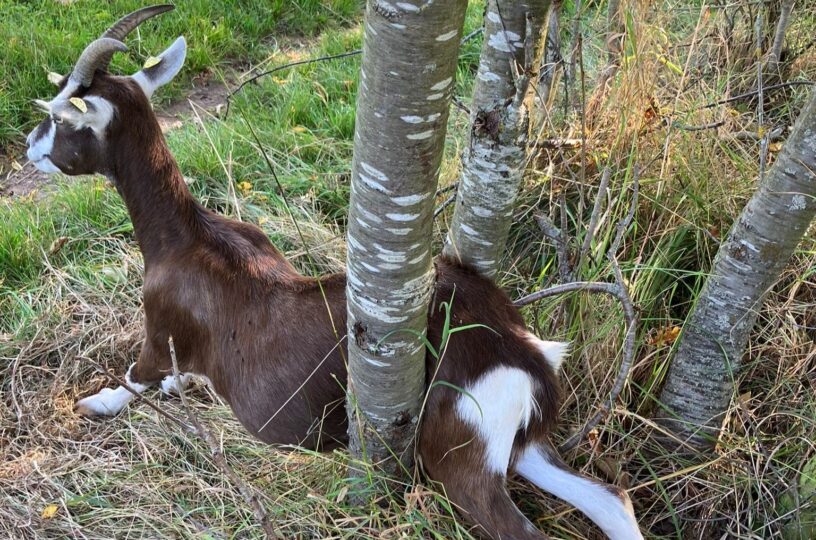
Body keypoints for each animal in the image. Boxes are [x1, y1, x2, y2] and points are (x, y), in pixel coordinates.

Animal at [25, 5, 644, 540]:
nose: (30, 147)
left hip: (460, 454)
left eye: (59, 115)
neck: (187, 239)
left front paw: (93, 404)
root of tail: (519, 347)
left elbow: (135, 379)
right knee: (613, 500)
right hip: (522, 445)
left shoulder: (159, 331)